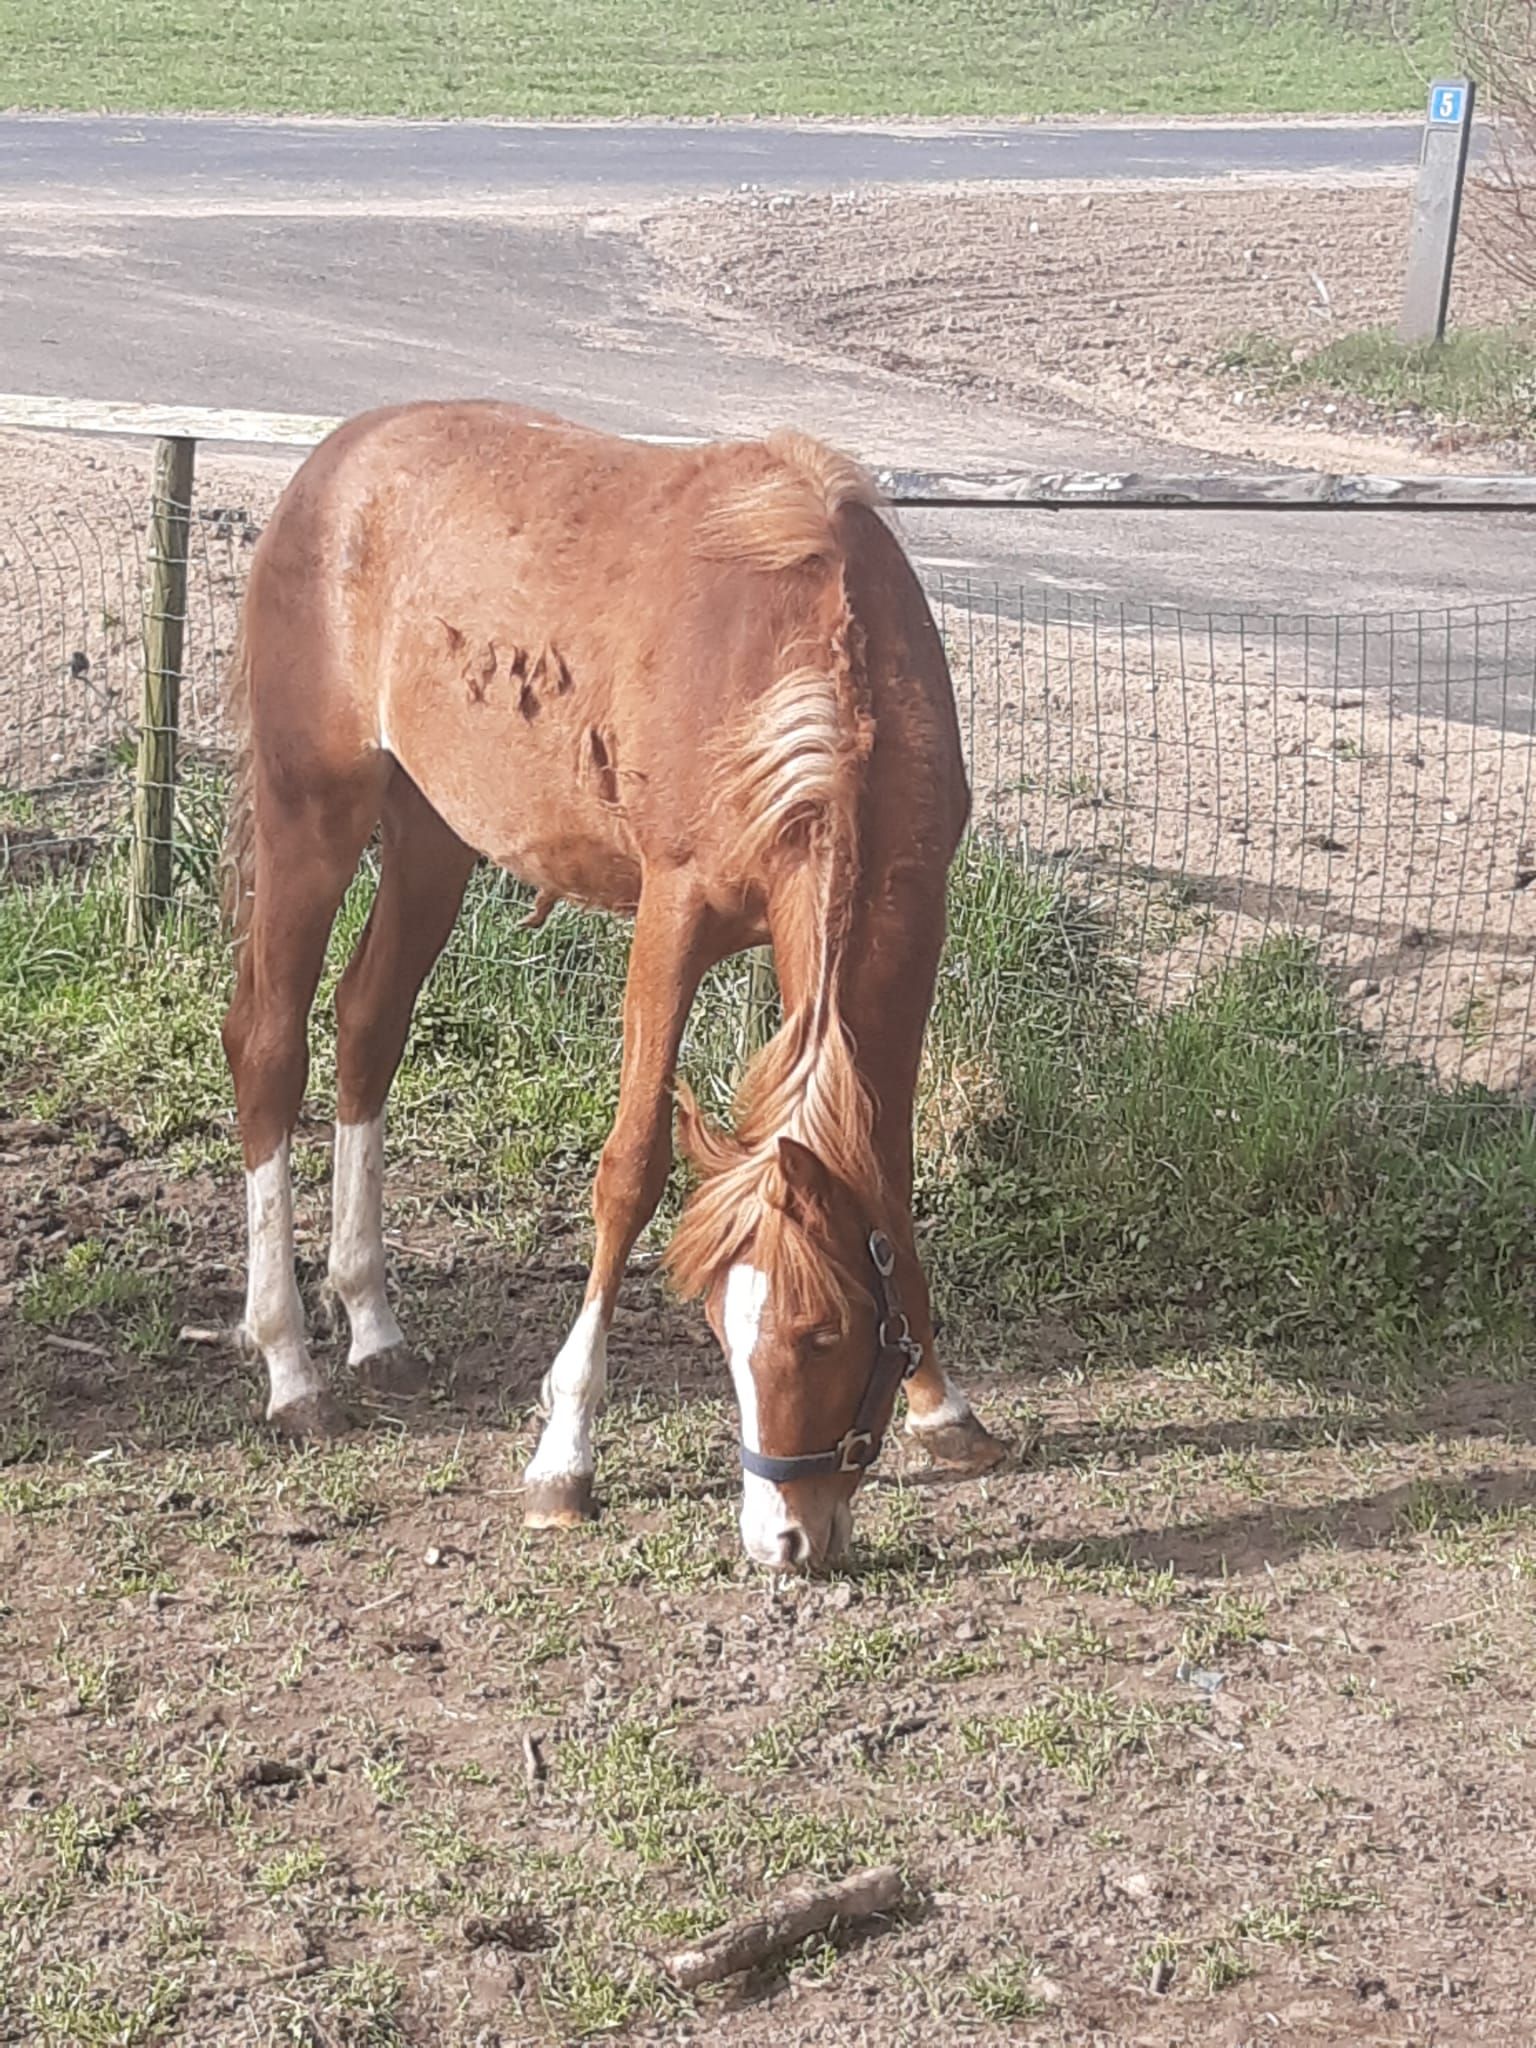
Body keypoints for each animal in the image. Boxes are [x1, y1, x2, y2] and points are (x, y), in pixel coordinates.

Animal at [219, 401, 1005, 1570]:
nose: (788, 1539)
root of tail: (334, 462)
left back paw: (373, 1323)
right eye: (722, 1326)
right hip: (311, 809)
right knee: (270, 1045)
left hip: (430, 836)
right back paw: (290, 1369)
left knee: (368, 1026)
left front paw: (942, 1406)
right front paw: (565, 1456)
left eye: (827, 1334)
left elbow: (887, 1171)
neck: (809, 669)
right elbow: (630, 1169)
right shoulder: (673, 920)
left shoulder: (904, 928)